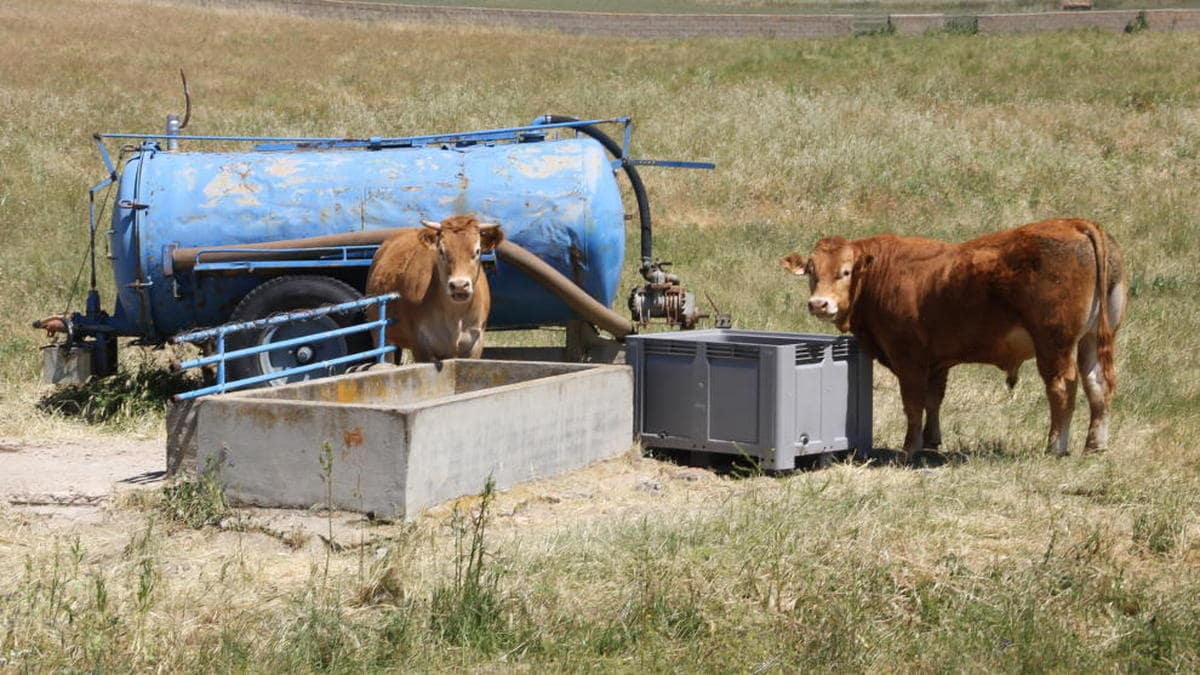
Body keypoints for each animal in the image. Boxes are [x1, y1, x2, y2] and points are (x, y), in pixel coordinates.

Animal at [360, 214, 501, 362]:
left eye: (477, 251)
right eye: (441, 251)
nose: (459, 285)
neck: (455, 315)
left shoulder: (475, 344)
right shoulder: (420, 345)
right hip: (380, 333)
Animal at [782, 218, 1128, 458]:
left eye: (845, 271)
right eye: (812, 271)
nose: (819, 304)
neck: (883, 275)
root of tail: (1075, 223)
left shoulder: (908, 357)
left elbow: (913, 403)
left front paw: (909, 448)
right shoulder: (937, 361)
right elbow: (934, 400)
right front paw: (932, 441)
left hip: (1054, 345)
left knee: (1062, 390)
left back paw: (1055, 445)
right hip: (1091, 341)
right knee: (1098, 385)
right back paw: (1095, 445)